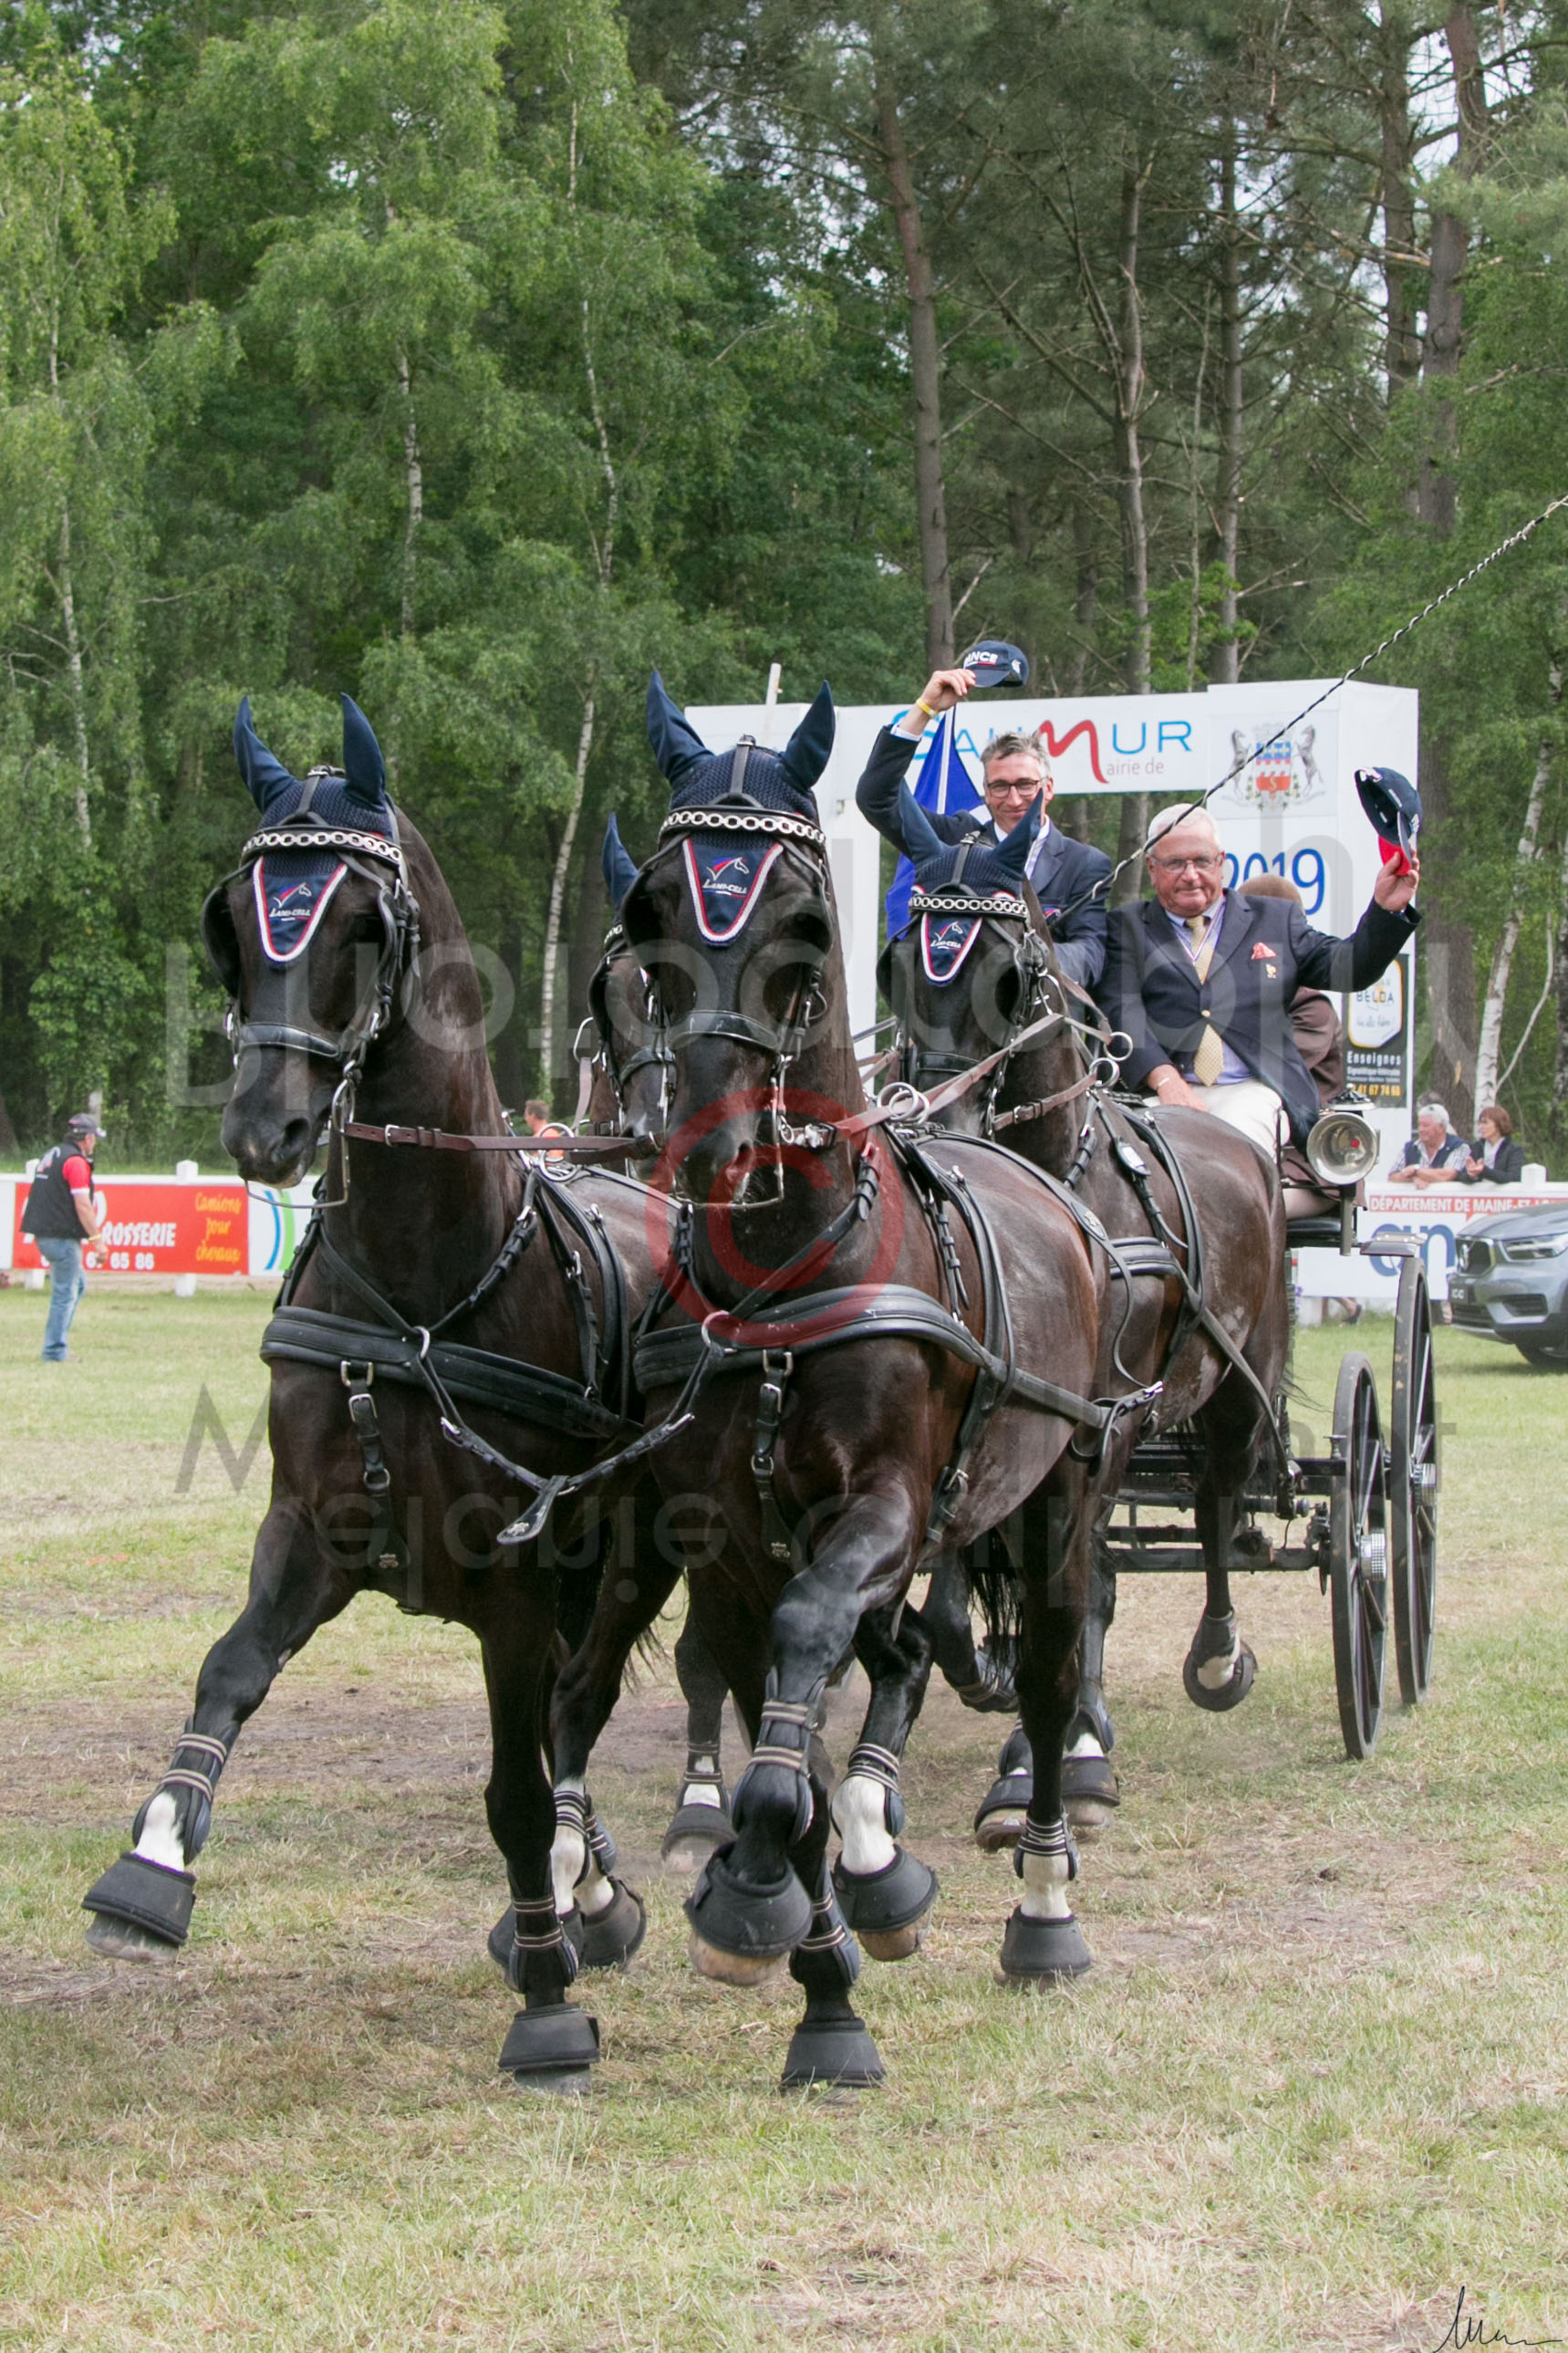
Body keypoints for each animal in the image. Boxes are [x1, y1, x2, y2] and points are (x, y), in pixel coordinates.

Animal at [80, 695, 673, 2093]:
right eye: (233, 922)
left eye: (360, 923)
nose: (264, 1130)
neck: (423, 1282)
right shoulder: (312, 1527)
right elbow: (227, 1671)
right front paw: (152, 1859)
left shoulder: (513, 1577)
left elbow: (515, 1784)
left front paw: (548, 1996)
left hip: (637, 1549)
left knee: (583, 1706)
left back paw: (584, 1886)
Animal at [868, 791, 1291, 1840]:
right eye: (897, 960)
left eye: (1011, 975)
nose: (931, 1121)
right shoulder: (992, 1403)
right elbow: (962, 1588)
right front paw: (987, 1674)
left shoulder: (1105, 1422)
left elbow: (1083, 1583)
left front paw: (1065, 1750)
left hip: (1233, 1393)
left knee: (1219, 1504)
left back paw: (1216, 1656)